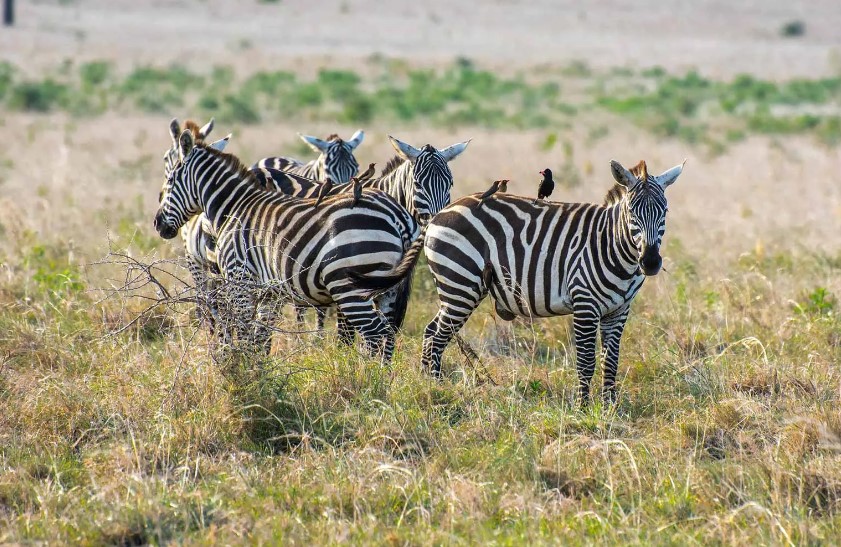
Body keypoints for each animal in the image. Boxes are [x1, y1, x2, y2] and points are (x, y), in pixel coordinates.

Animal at [153, 128, 416, 360]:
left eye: (170, 180)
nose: (157, 223)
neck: (235, 206)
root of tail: (398, 215)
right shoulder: (267, 292)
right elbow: (260, 337)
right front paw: (256, 371)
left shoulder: (240, 279)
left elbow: (244, 331)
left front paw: (240, 371)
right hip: (387, 289)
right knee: (389, 334)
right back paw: (383, 380)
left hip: (350, 288)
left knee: (375, 334)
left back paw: (367, 377)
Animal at [348, 159, 684, 406]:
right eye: (632, 211)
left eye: (665, 212)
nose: (651, 262)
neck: (613, 246)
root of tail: (440, 213)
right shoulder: (585, 304)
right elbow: (587, 360)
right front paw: (584, 408)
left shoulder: (619, 311)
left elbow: (611, 360)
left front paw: (611, 407)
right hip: (460, 284)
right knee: (435, 335)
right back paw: (434, 388)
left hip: (460, 288)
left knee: (433, 332)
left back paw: (433, 385)